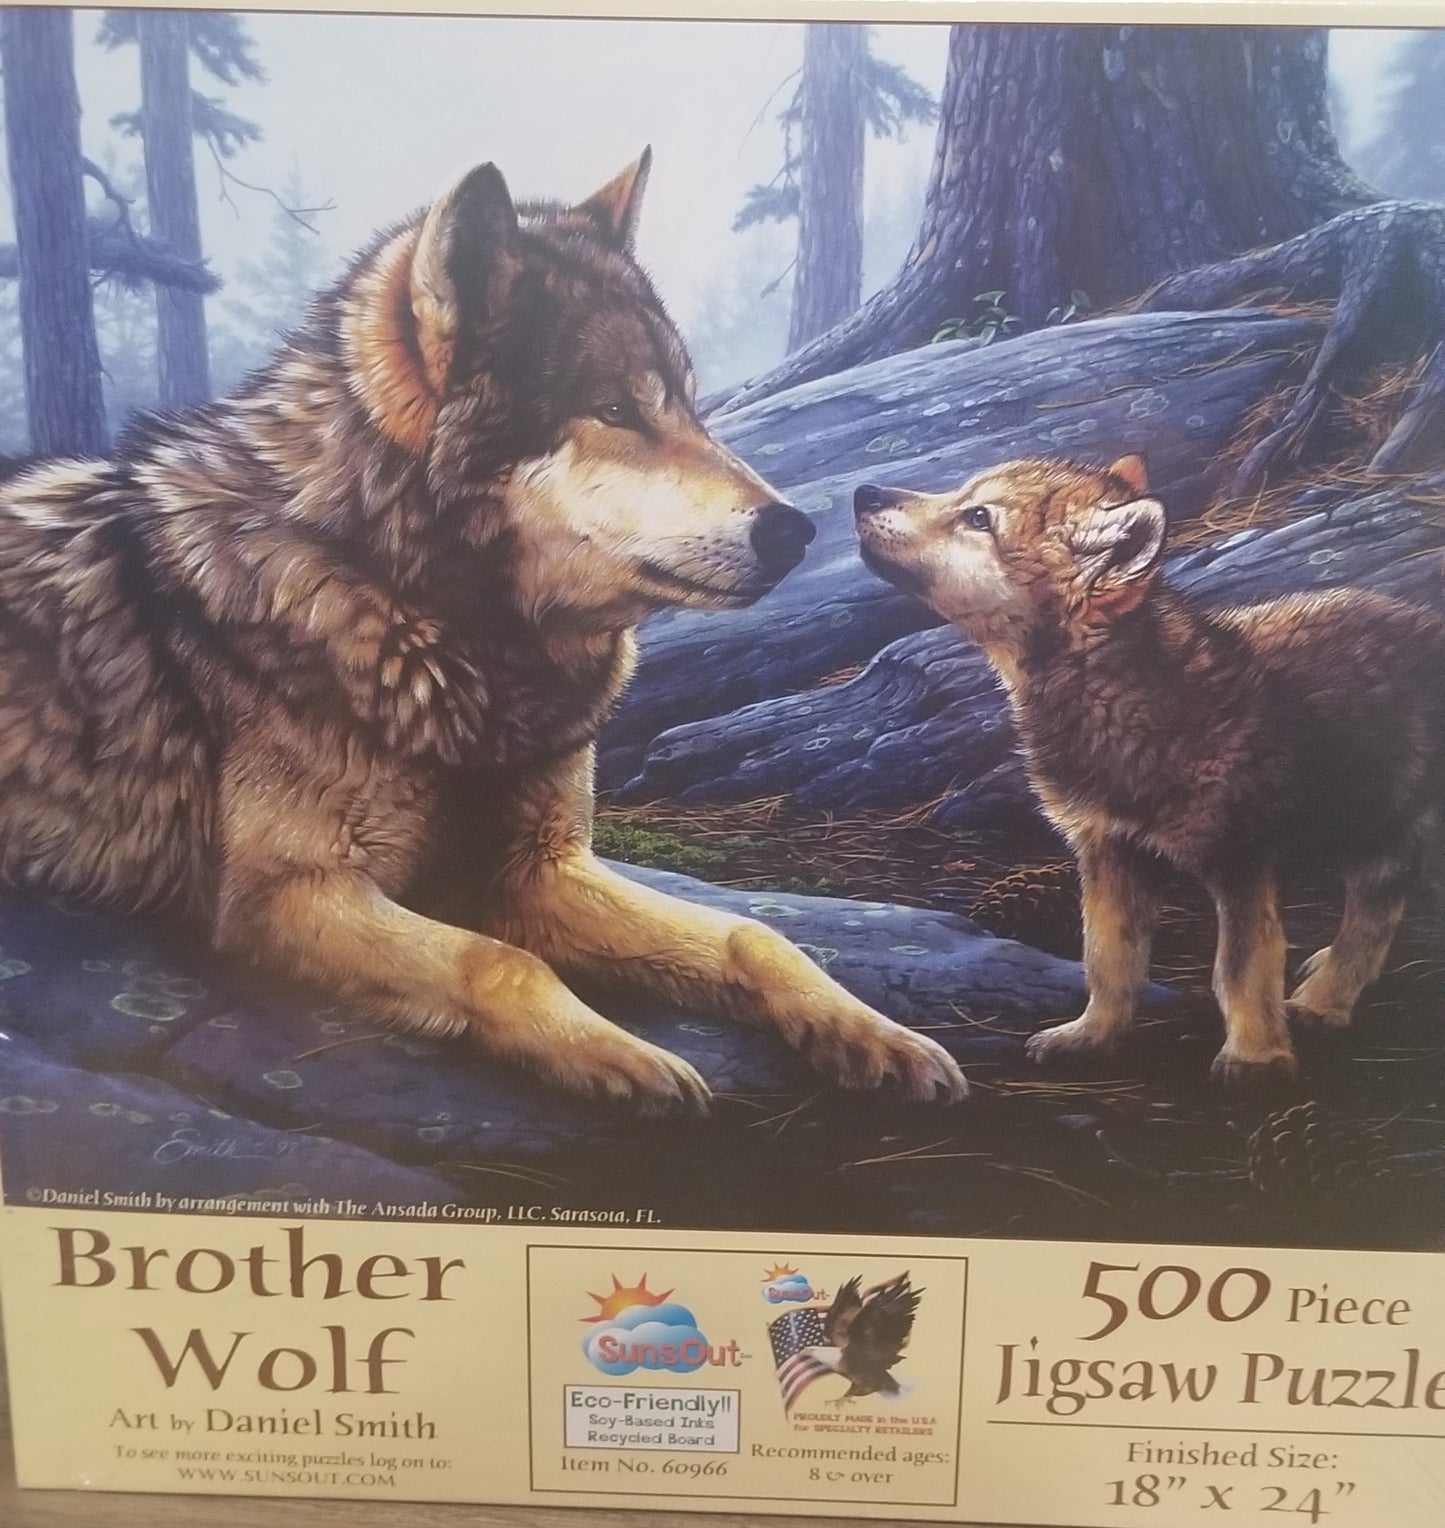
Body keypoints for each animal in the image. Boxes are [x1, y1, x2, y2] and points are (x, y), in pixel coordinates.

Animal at [0, 153, 965, 1114]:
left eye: (690, 408)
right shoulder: (282, 896)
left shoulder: (535, 867)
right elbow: (499, 961)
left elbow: (751, 936)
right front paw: (623, 1060)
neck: (438, 628)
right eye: (613, 410)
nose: (797, 530)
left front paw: (873, 1035)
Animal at [853, 453, 1445, 1085]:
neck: (1125, 697)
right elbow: (1108, 960)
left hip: (1383, 829)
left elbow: (1241, 968)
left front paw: (1255, 1058)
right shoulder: (1106, 850)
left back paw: (1323, 1001)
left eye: (979, 517)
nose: (863, 492)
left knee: (1377, 911)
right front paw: (1090, 1036)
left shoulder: (1240, 860)